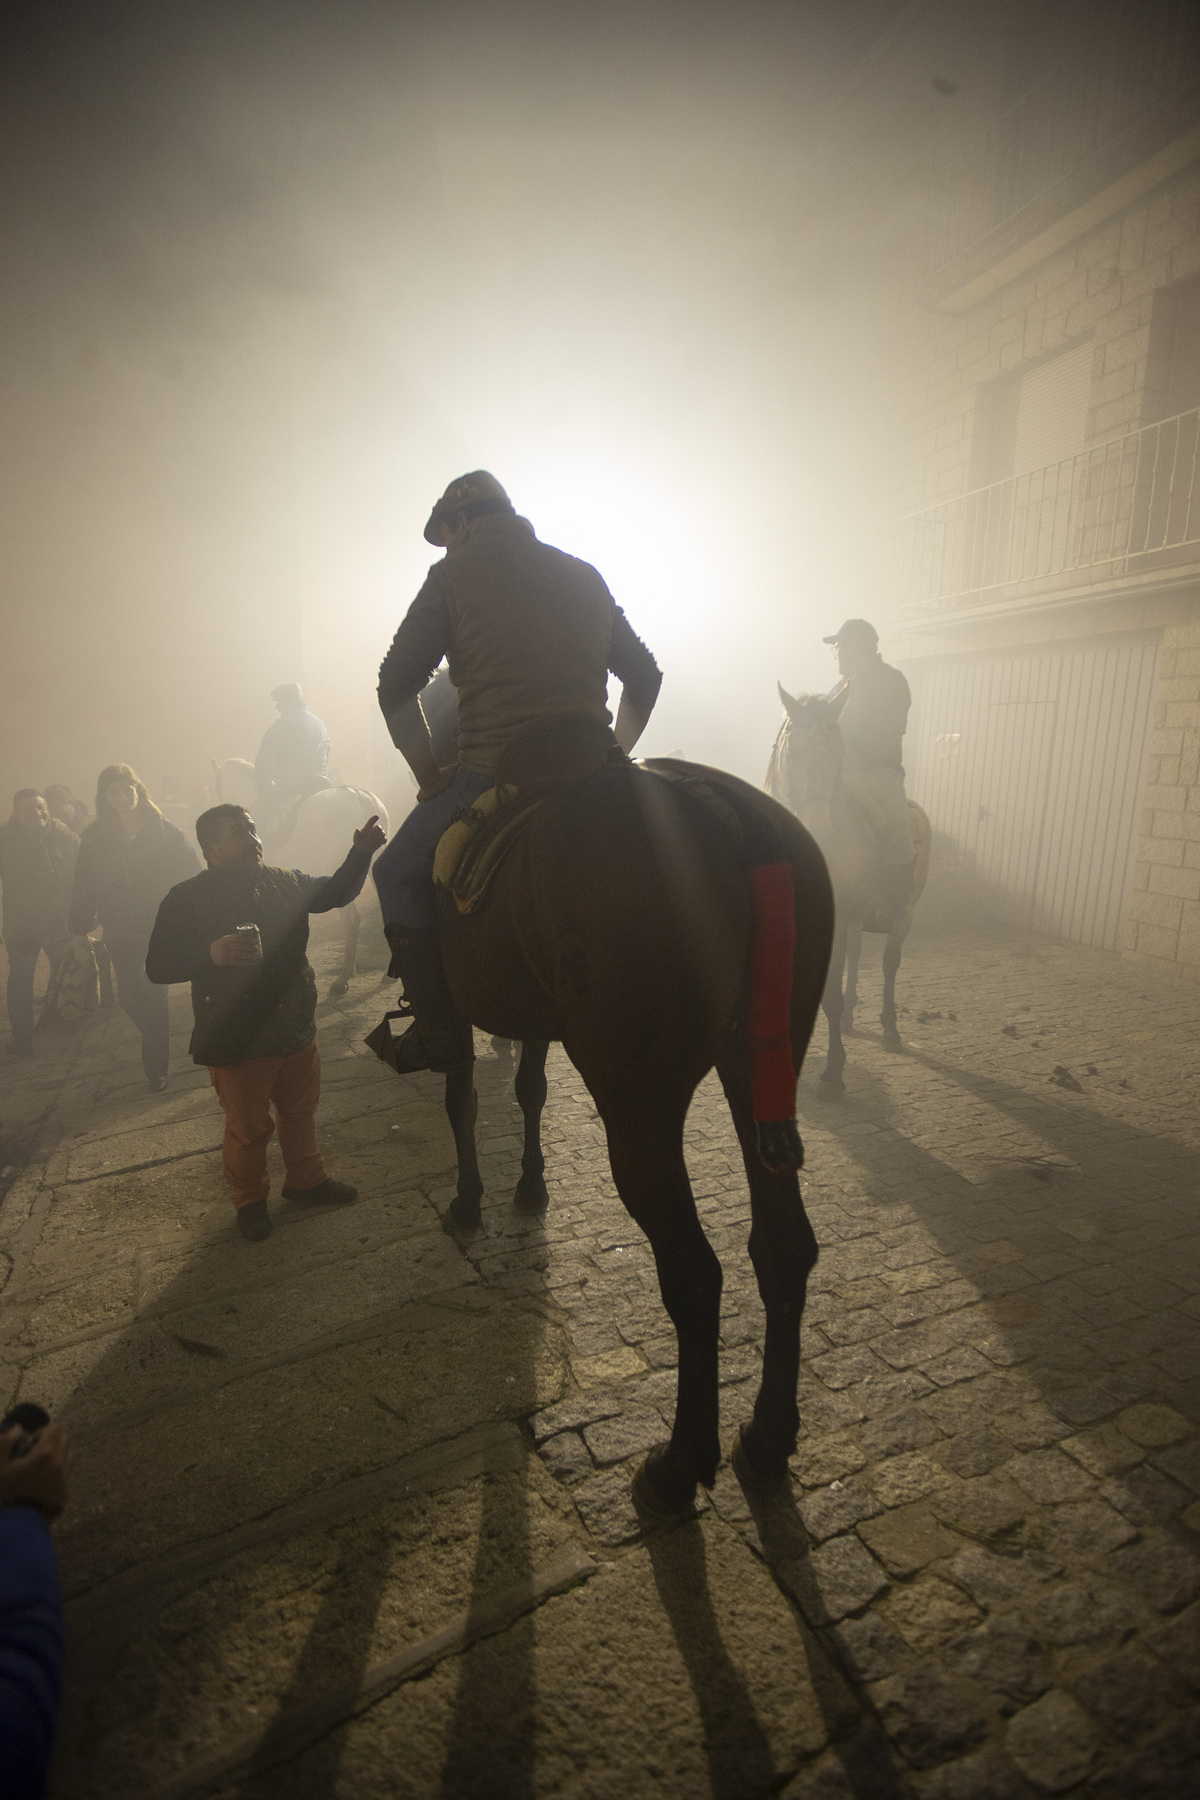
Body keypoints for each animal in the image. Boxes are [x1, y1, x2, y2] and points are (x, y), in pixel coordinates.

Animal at [431, 756, 834, 1519]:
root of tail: (722, 808)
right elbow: (527, 1085)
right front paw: (529, 1184)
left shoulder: (451, 1001)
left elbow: (462, 1098)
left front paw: (469, 1198)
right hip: (763, 1062)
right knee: (783, 1246)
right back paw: (768, 1437)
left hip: (639, 1106)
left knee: (693, 1273)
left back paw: (679, 1465)